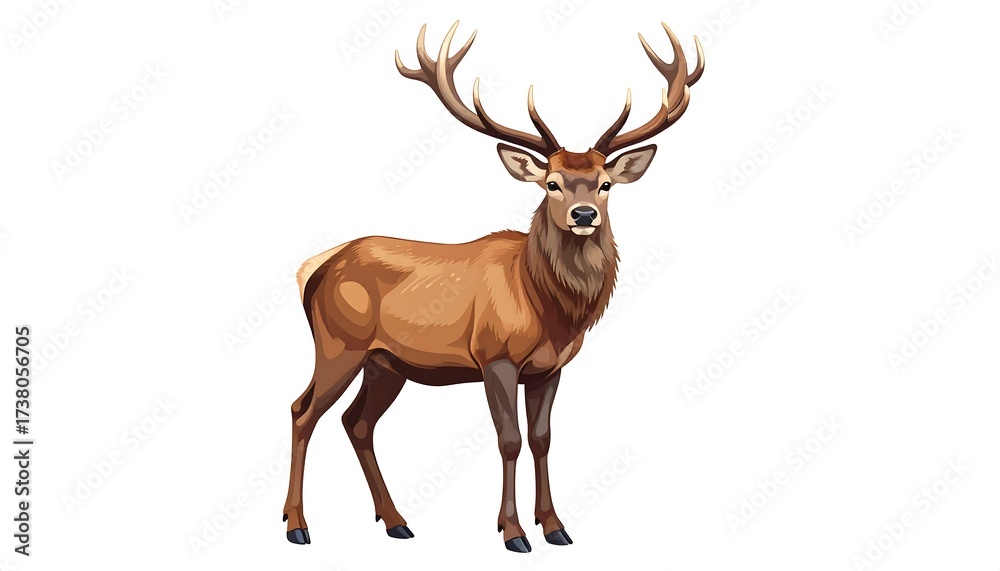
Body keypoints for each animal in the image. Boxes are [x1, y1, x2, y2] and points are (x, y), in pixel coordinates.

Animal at [282, 21, 703, 553]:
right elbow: (510, 440)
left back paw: (396, 520)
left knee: (356, 422)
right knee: (302, 411)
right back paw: (298, 525)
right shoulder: (494, 355)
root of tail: (314, 267)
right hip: (339, 343)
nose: (583, 214)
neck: (549, 309)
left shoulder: (549, 369)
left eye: (605, 183)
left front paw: (556, 526)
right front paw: (513, 532)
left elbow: (543, 439)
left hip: (385, 362)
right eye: (551, 182)